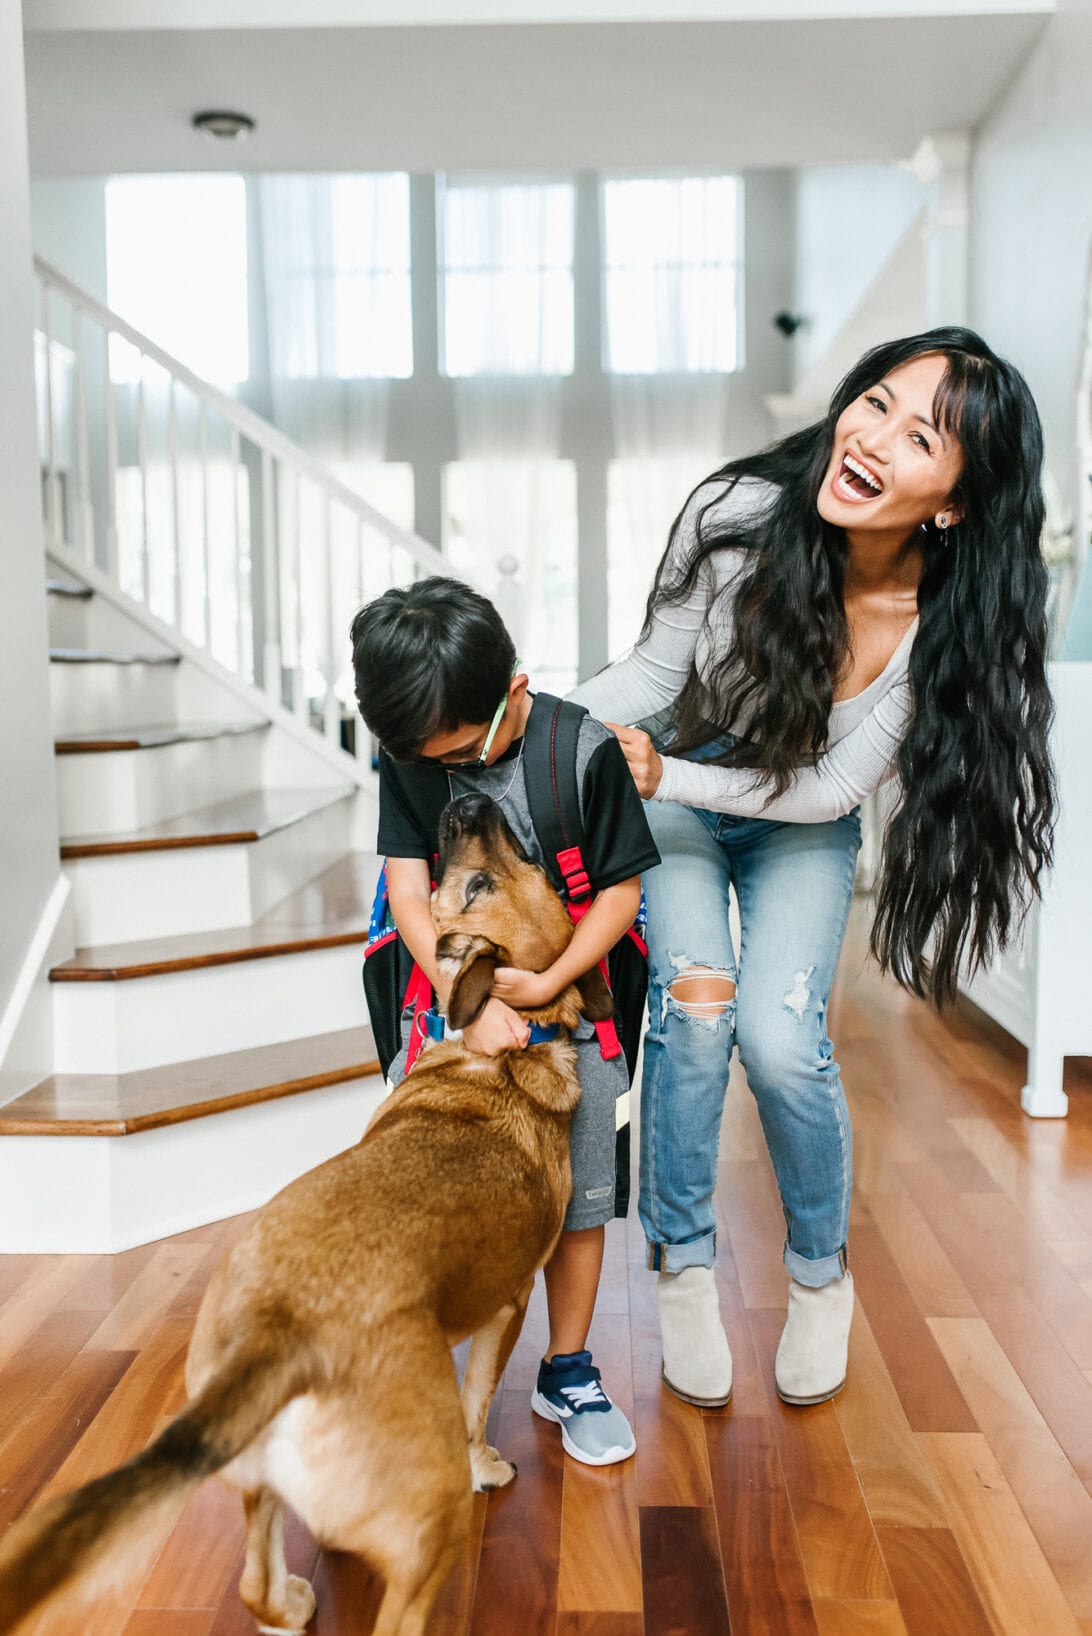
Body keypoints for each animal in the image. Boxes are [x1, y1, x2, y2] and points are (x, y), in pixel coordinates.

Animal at [0, 795, 615, 1636]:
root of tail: (280, 1333)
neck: (506, 1057)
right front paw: (484, 1462)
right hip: (429, 1529)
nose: (468, 801)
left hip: (260, 1474)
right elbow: (475, 1405)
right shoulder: (508, 1305)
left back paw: (288, 1603)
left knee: (259, 1581)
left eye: (497, 876)